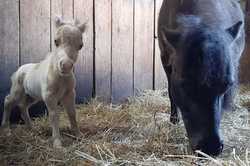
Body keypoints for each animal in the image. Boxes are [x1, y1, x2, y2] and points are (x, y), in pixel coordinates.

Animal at [1, 17, 86, 148]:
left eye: (80, 45)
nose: (66, 66)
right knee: (8, 101)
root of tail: (19, 70)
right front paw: (57, 143)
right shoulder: (49, 96)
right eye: (56, 41)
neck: (60, 77)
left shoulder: (70, 94)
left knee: (23, 106)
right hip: (17, 91)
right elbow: (54, 115)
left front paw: (78, 135)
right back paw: (6, 129)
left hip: (31, 96)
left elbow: (72, 113)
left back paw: (31, 128)